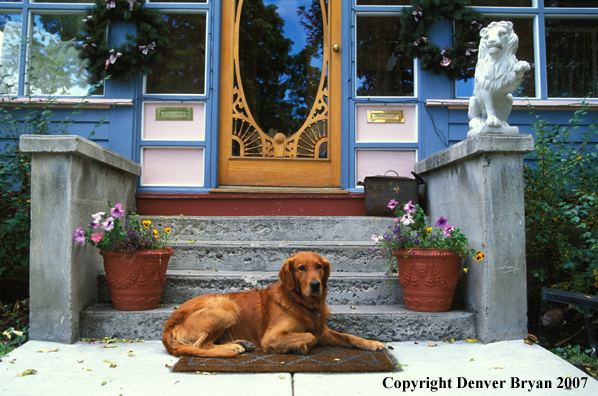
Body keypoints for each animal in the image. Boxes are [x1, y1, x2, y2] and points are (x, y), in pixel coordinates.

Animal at [162, 252, 386, 358]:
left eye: (319, 266)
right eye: (301, 268)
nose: (316, 285)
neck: (302, 303)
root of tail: (169, 324)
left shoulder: (324, 331)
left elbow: (349, 337)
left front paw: (371, 343)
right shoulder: (271, 336)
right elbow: (309, 336)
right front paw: (299, 348)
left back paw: (242, 343)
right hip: (226, 306)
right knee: (201, 345)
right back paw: (235, 347)